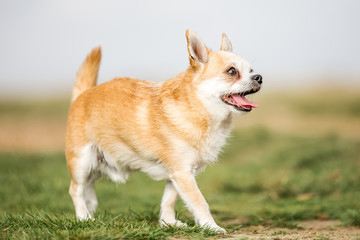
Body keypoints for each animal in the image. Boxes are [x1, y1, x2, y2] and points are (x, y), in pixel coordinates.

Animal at [65, 29, 262, 233]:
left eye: (251, 70)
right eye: (232, 71)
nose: (259, 77)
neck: (199, 111)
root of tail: (83, 94)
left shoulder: (178, 174)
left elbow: (169, 199)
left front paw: (168, 222)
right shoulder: (182, 172)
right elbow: (199, 202)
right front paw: (211, 227)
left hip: (97, 164)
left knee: (89, 186)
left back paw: (90, 210)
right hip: (81, 162)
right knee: (76, 189)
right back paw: (83, 218)